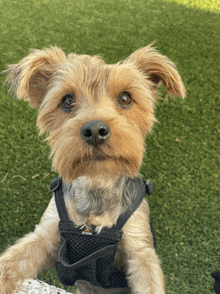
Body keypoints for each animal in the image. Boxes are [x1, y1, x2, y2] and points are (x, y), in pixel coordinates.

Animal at [0, 44, 186, 294]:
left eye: (125, 98)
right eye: (67, 100)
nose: (95, 130)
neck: (98, 180)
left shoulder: (140, 249)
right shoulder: (45, 235)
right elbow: (11, 262)